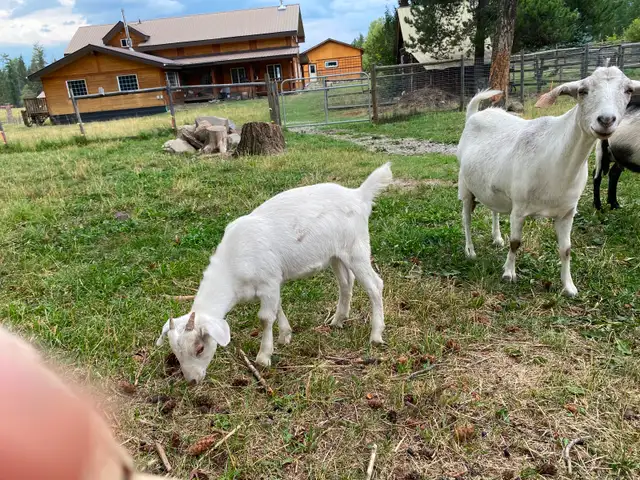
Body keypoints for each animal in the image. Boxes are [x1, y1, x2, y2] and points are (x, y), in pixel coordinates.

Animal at [156, 163, 393, 383]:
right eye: (176, 353)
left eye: (200, 348)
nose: (192, 381)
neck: (233, 266)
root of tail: (358, 195)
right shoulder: (273, 284)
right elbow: (278, 307)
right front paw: (285, 336)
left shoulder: (268, 281)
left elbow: (265, 318)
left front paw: (263, 356)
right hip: (336, 254)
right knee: (346, 282)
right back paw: (338, 320)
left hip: (357, 248)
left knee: (375, 285)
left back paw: (376, 334)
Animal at [457, 67, 640, 297]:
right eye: (582, 91)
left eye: (628, 90)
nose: (606, 120)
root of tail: (474, 115)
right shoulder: (519, 208)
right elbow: (515, 242)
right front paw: (509, 274)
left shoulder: (567, 212)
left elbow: (566, 250)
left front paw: (569, 287)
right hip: (465, 185)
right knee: (466, 218)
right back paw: (470, 251)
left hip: (492, 187)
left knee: (494, 209)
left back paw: (496, 238)